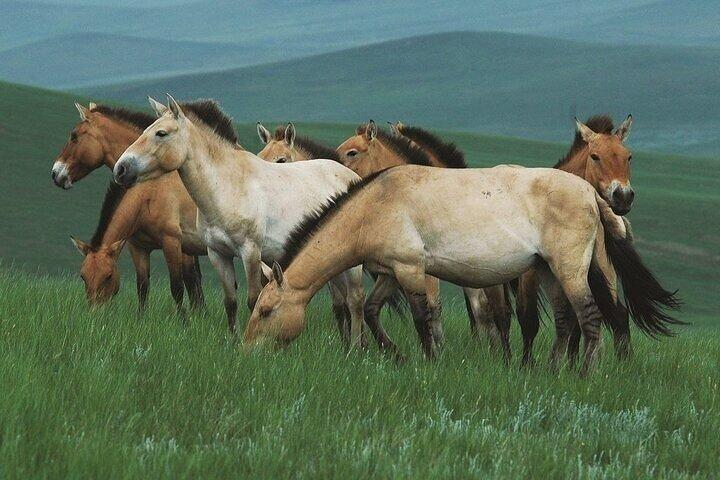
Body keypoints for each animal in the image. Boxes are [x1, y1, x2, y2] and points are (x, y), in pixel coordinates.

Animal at [70, 177, 206, 311]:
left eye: (108, 276)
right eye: (83, 276)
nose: (95, 311)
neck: (148, 195)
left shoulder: (172, 242)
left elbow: (177, 287)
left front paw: (183, 317)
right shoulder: (138, 248)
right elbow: (142, 288)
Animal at [112, 95, 366, 347]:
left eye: (161, 133)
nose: (120, 169)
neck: (228, 185)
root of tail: (352, 176)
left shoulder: (250, 252)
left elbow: (253, 300)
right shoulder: (218, 254)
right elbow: (230, 302)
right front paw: (233, 341)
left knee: (355, 300)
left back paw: (355, 348)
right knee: (342, 303)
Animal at [243, 165, 681, 375]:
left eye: (265, 310)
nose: (247, 352)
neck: (377, 206)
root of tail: (591, 192)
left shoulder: (410, 271)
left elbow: (422, 318)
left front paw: (429, 360)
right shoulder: (390, 273)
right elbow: (371, 312)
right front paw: (396, 354)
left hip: (571, 270)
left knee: (590, 319)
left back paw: (584, 375)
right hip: (549, 272)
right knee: (565, 322)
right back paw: (552, 370)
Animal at [515, 115, 637, 366]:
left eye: (628, 156)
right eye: (595, 156)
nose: (623, 197)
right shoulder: (529, 274)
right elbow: (528, 319)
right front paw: (526, 365)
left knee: (614, 314)